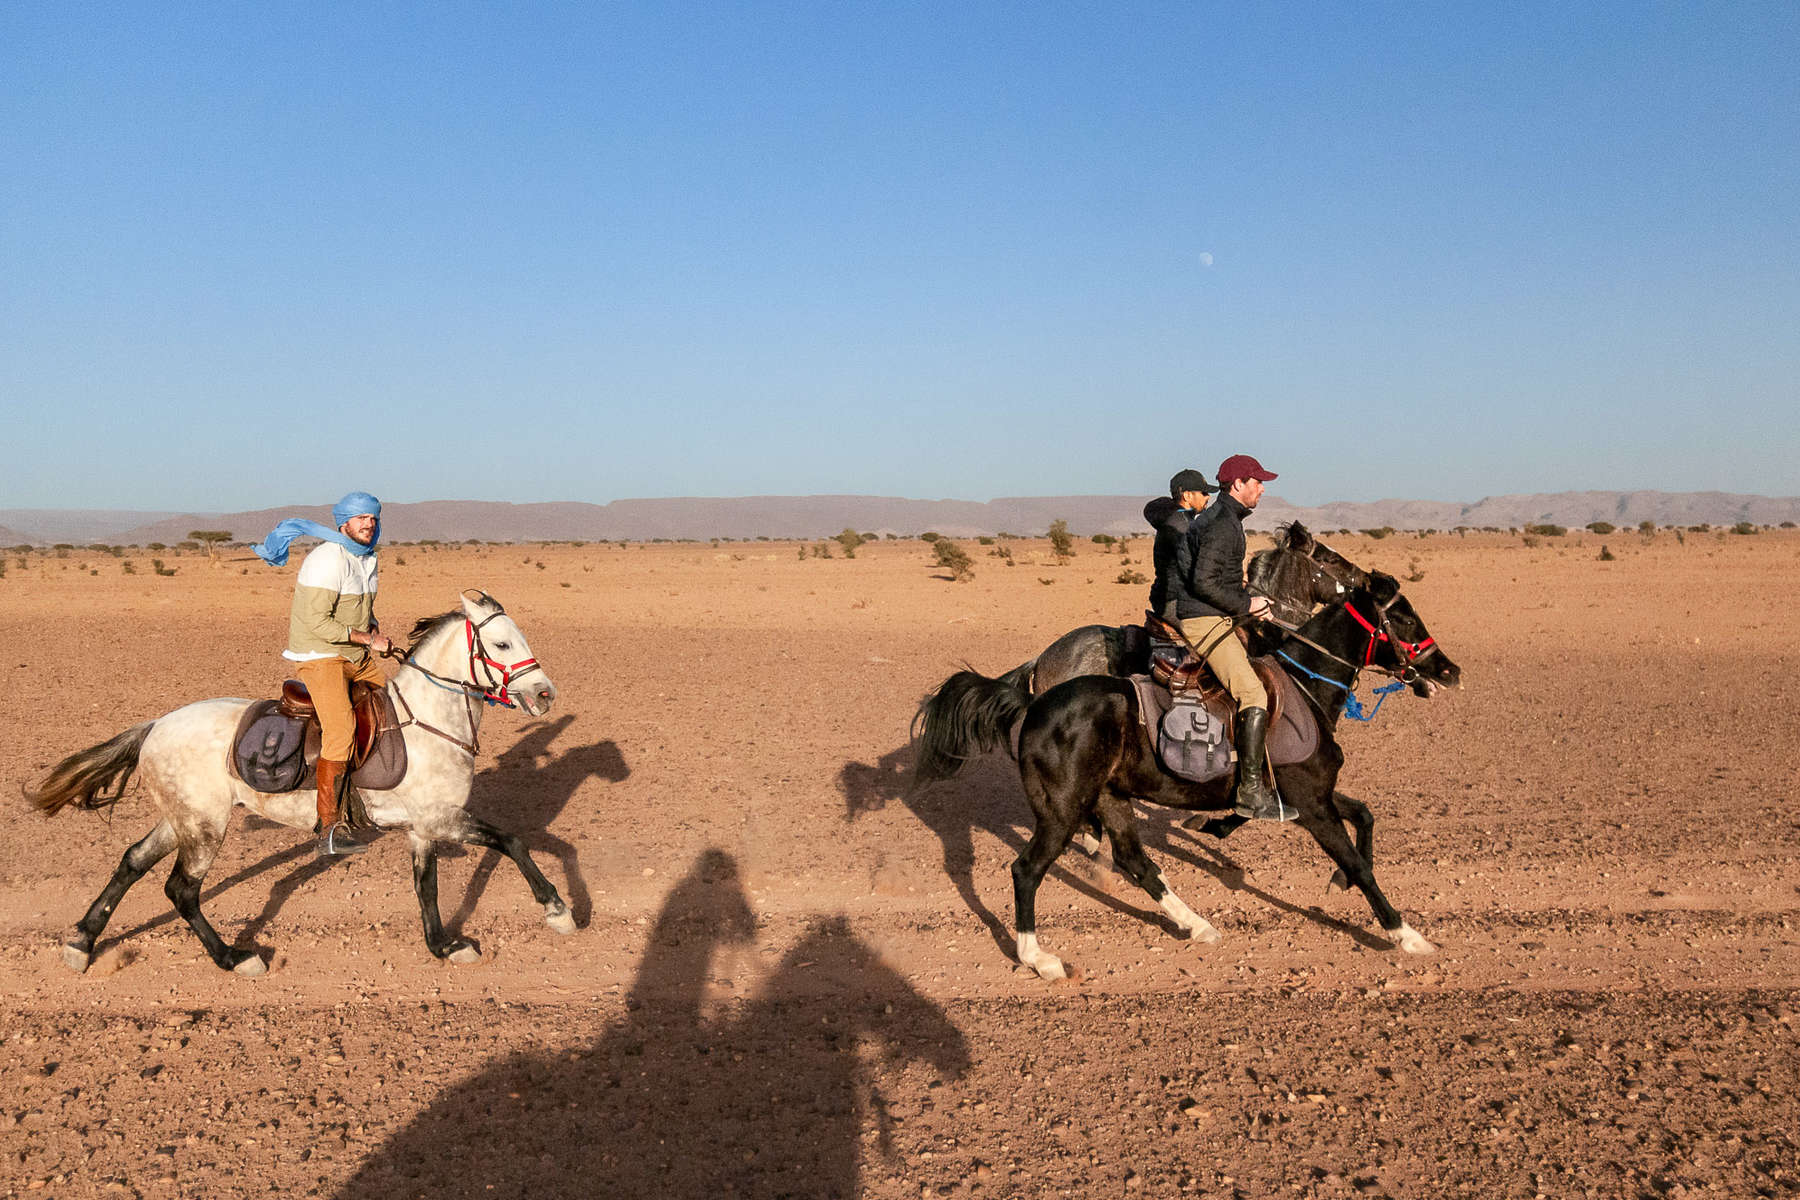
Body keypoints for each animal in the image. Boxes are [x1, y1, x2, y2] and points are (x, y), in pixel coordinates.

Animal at [29, 590, 576, 978]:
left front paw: (443, 945)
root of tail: (156, 725)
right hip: (205, 827)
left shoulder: (423, 827)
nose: (545, 694)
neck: (428, 721)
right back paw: (234, 958)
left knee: (132, 861)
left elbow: (427, 886)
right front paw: (558, 910)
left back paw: (81, 942)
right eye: (502, 644)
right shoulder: (442, 819)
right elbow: (512, 841)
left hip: (182, 818)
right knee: (181, 889)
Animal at [914, 568, 1461, 978]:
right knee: (1028, 869)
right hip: (1062, 808)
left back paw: (1197, 924)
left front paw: (1334, 883)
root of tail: (1034, 703)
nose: (1450, 671)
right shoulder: (1312, 805)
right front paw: (1407, 935)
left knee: (1135, 861)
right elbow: (1361, 865)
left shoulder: (1313, 797)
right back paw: (1039, 958)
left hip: (1109, 796)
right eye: (1404, 617)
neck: (1305, 688)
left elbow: (1364, 816)